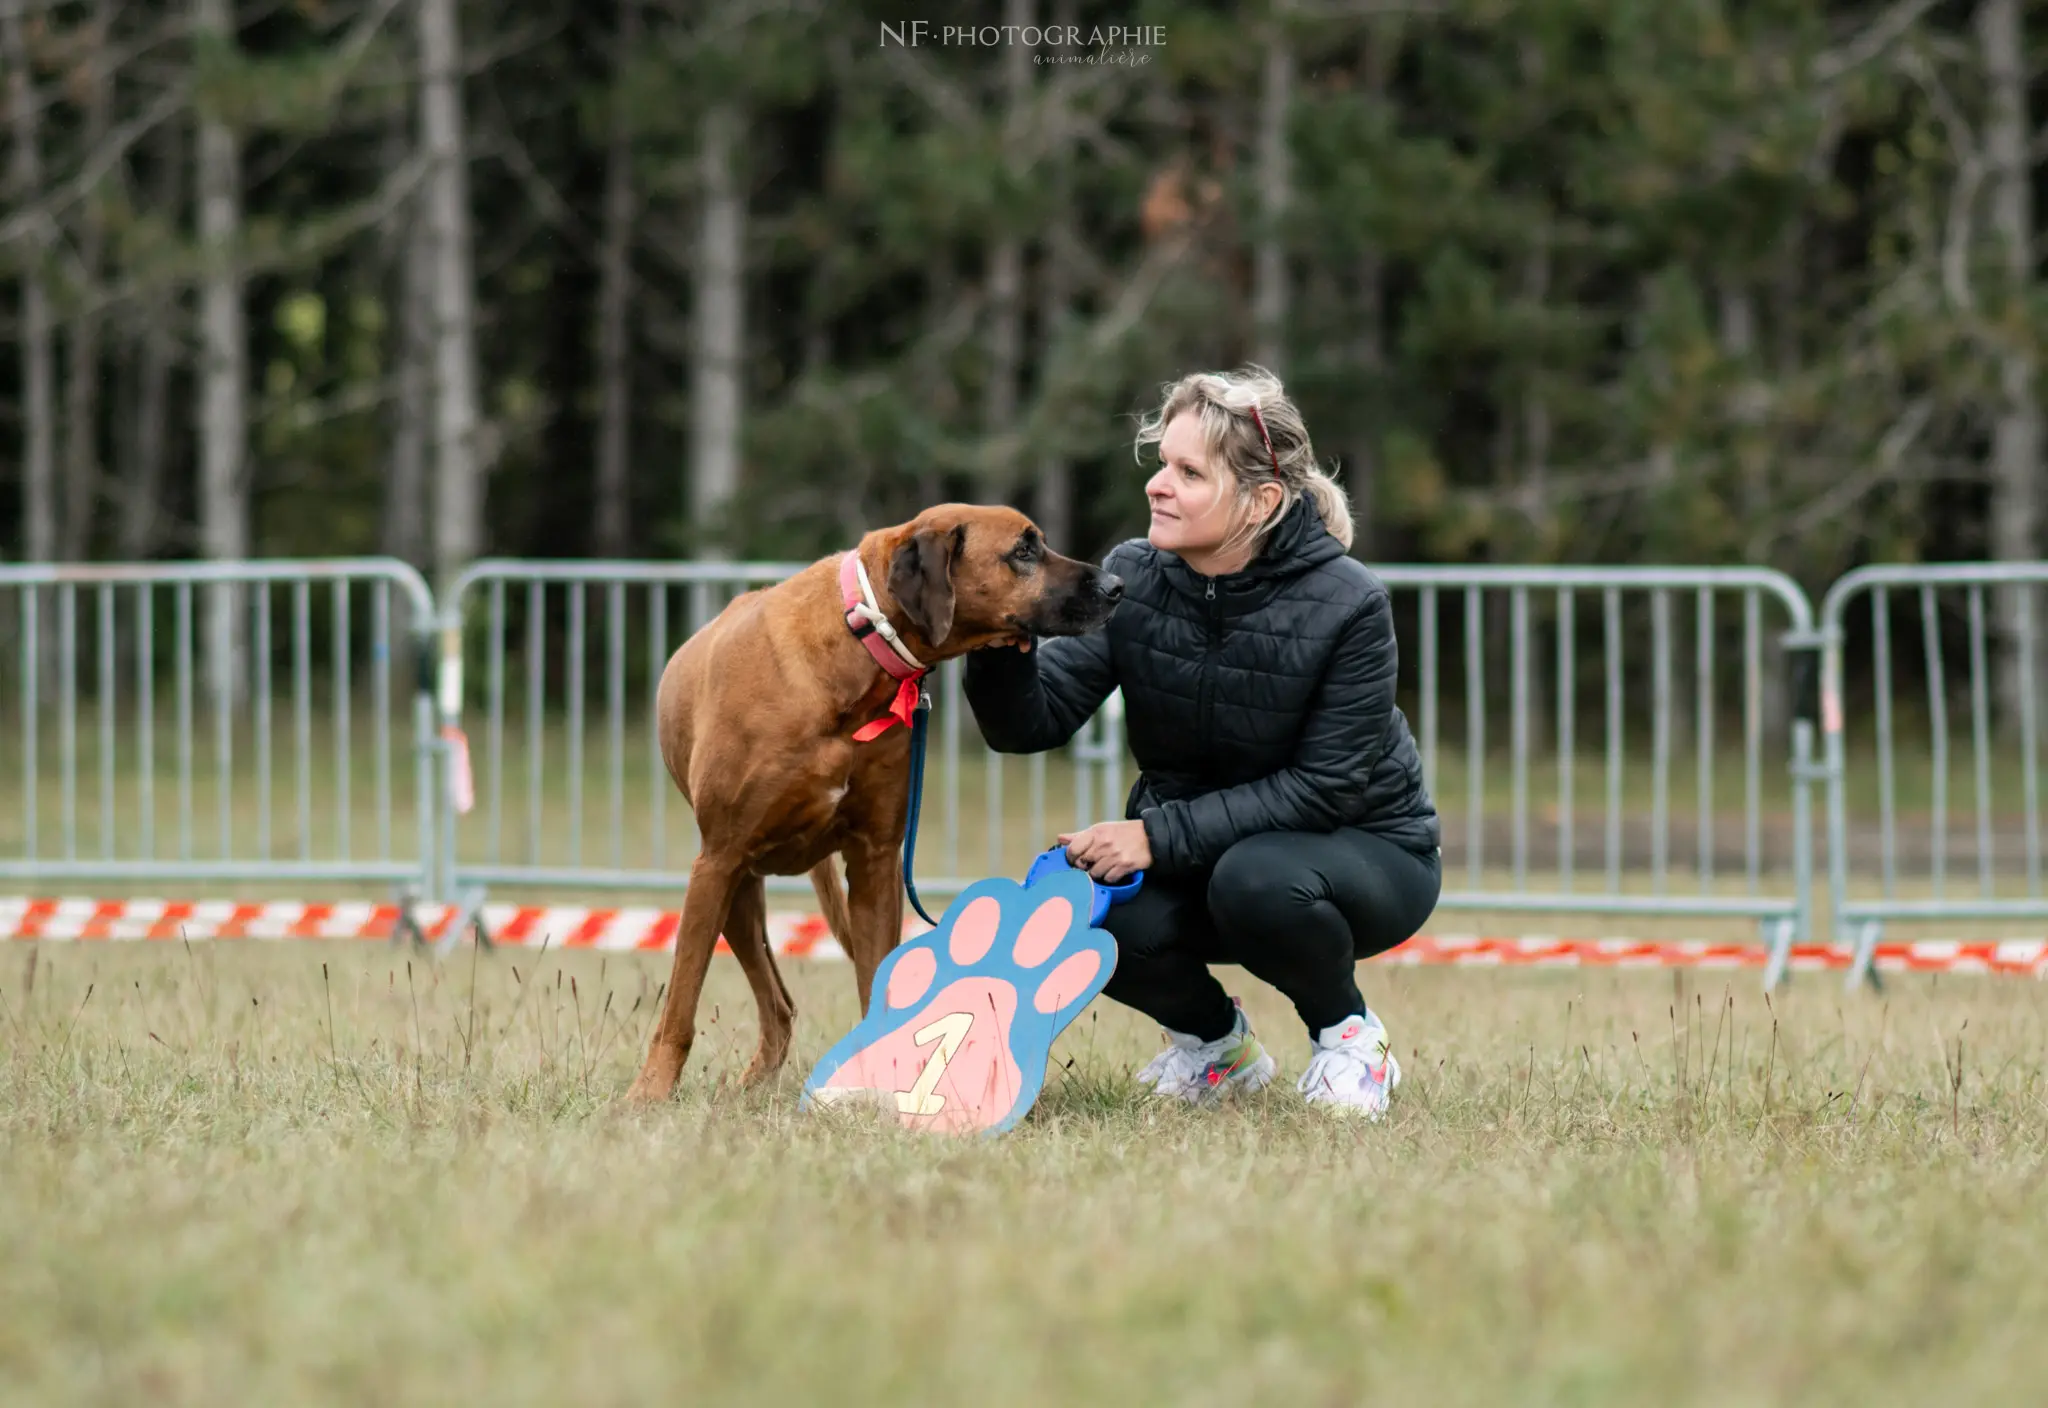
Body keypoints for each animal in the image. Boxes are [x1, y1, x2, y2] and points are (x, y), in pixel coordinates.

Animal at [630, 501, 1130, 1105]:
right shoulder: (717, 862)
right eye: (1023, 551)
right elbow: (680, 1003)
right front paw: (648, 1095)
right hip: (736, 889)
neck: (857, 647)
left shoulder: (875, 866)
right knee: (773, 1002)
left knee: (780, 1005)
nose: (1117, 586)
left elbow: (878, 992)